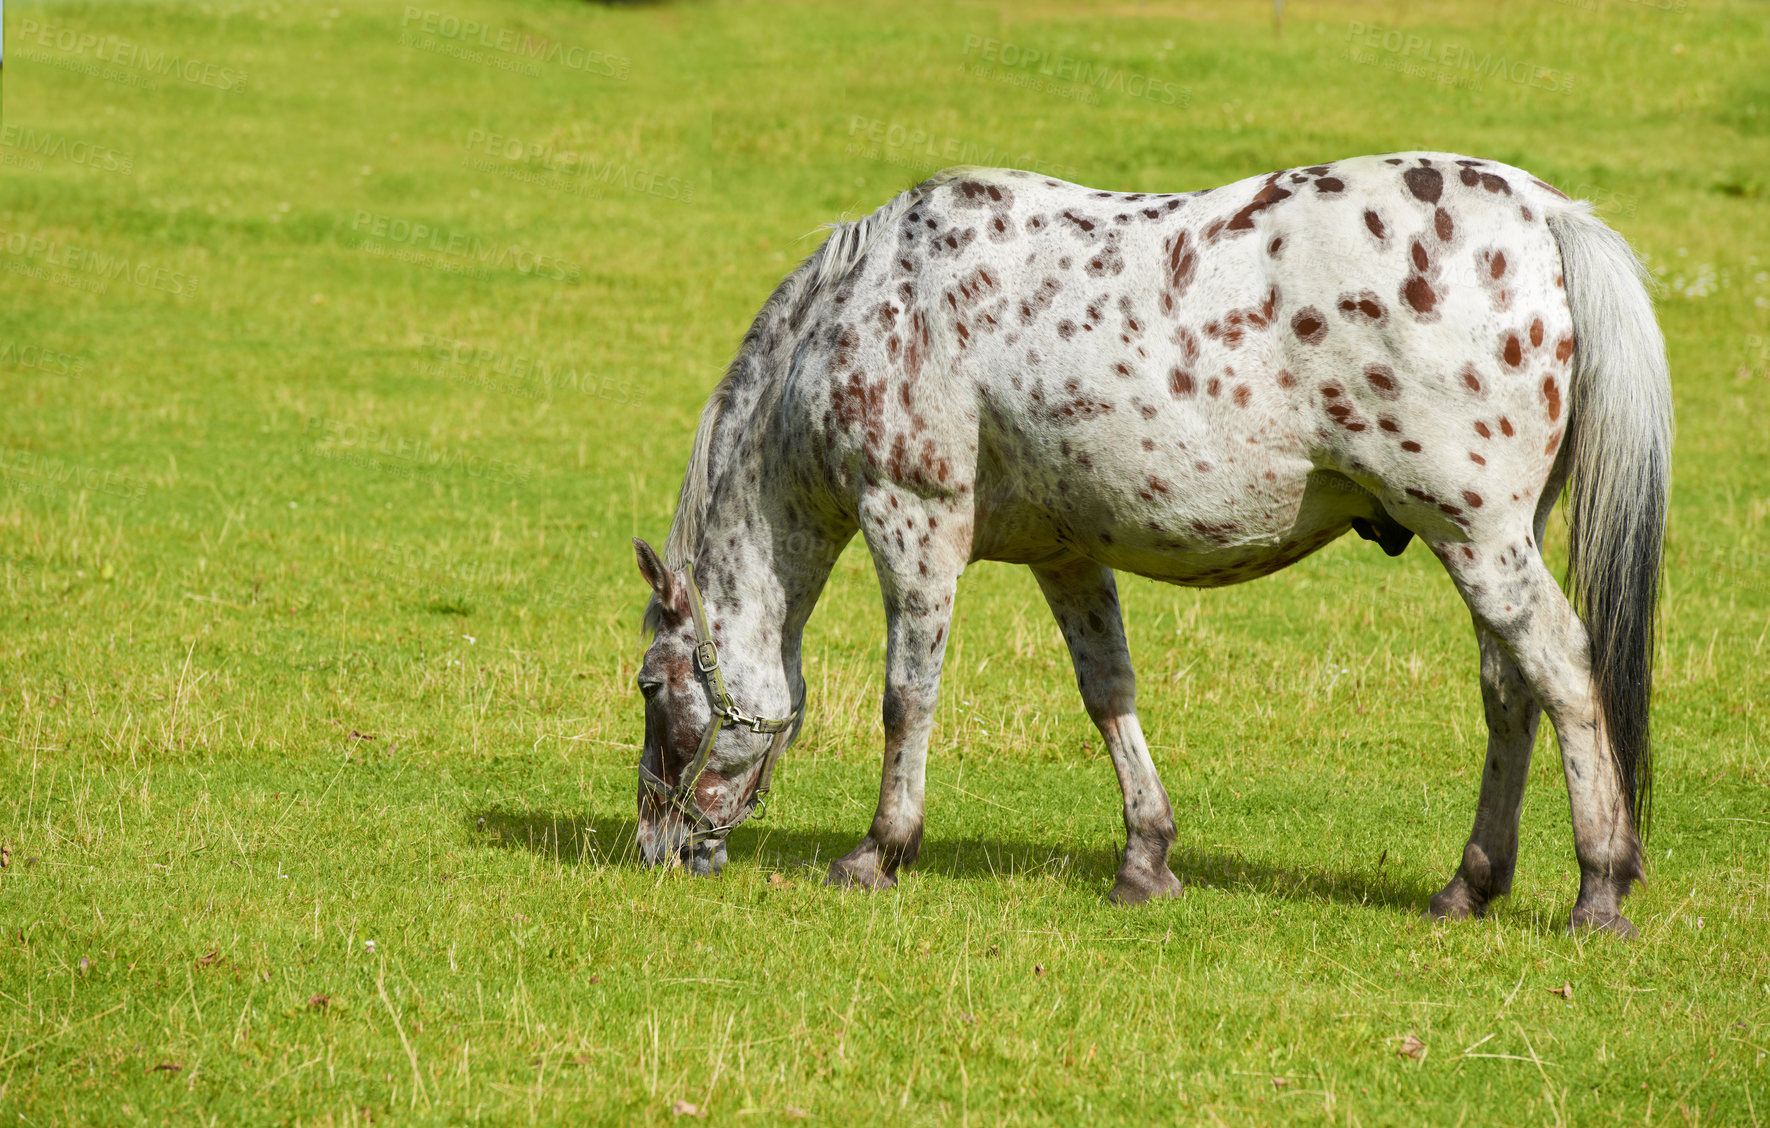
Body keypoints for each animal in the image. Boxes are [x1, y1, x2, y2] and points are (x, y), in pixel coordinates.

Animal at [633, 154, 1670, 934]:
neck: (872, 307)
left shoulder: (912, 524)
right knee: (1511, 692)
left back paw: (1600, 887)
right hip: (1493, 542)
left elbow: (906, 698)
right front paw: (1145, 858)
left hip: (1476, 537)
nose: (656, 846)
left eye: (651, 686)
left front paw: (880, 851)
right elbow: (1108, 695)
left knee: (1564, 672)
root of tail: (1544, 215)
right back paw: (1469, 886)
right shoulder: (1065, 554)